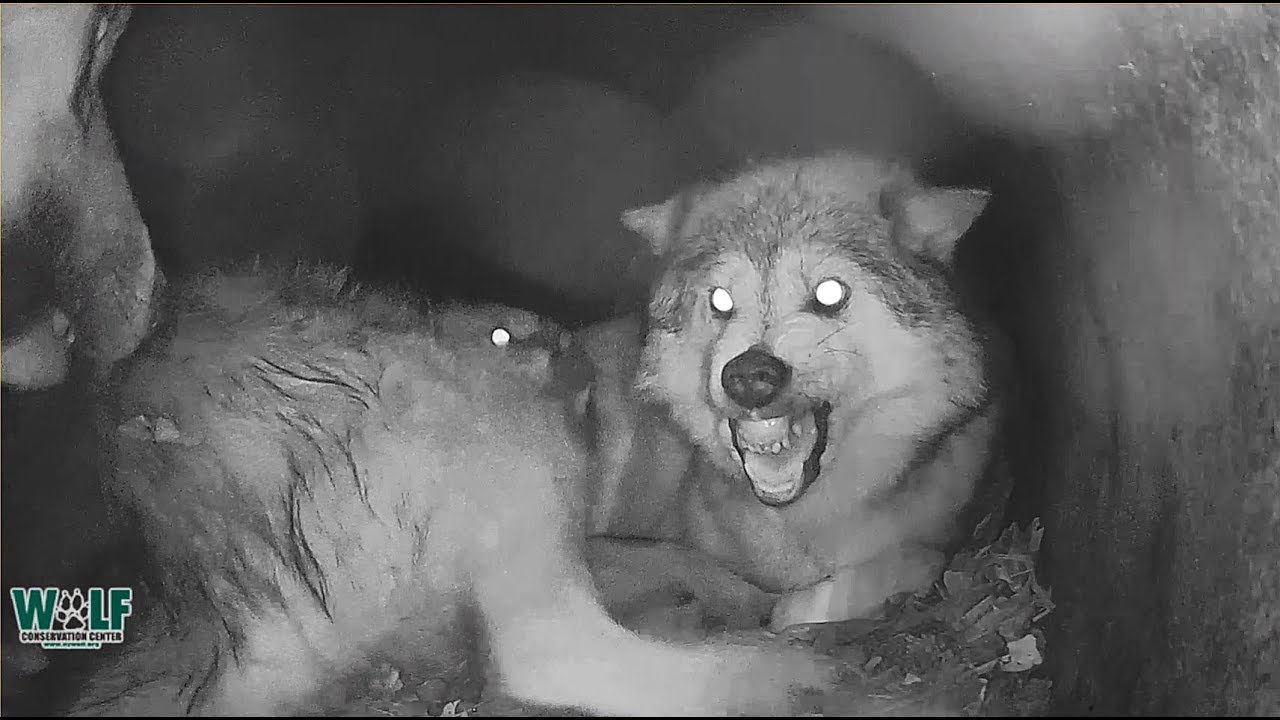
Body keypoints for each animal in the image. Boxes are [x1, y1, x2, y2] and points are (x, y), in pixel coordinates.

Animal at [64, 262, 843, 717]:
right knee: (559, 653)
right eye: (505, 335)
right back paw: (788, 671)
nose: (566, 350)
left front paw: (738, 597)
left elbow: (654, 558)